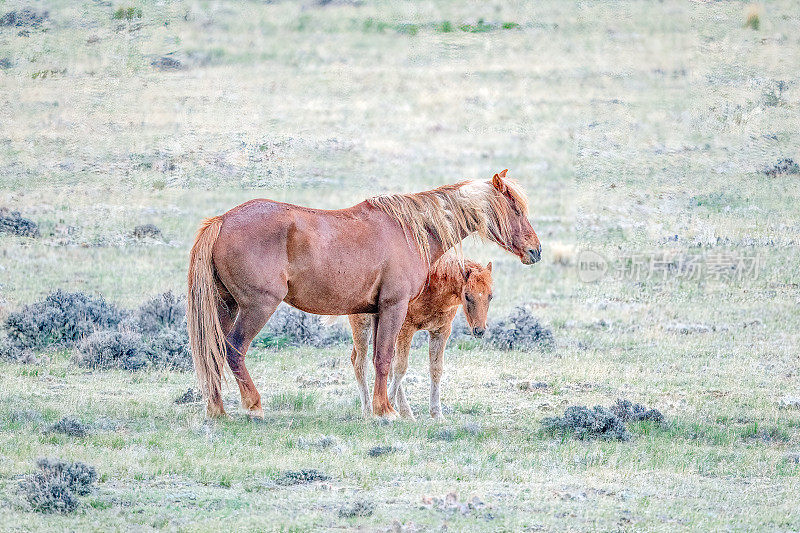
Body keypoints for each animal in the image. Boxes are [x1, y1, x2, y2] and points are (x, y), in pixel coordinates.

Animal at [187, 168, 536, 418]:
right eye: (516, 210)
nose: (536, 251)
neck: (411, 230)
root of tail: (221, 221)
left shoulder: (379, 312)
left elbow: (380, 360)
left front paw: (380, 409)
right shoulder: (395, 308)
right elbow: (385, 358)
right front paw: (387, 412)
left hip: (226, 306)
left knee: (214, 351)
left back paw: (217, 410)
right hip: (257, 307)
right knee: (234, 349)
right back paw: (253, 407)